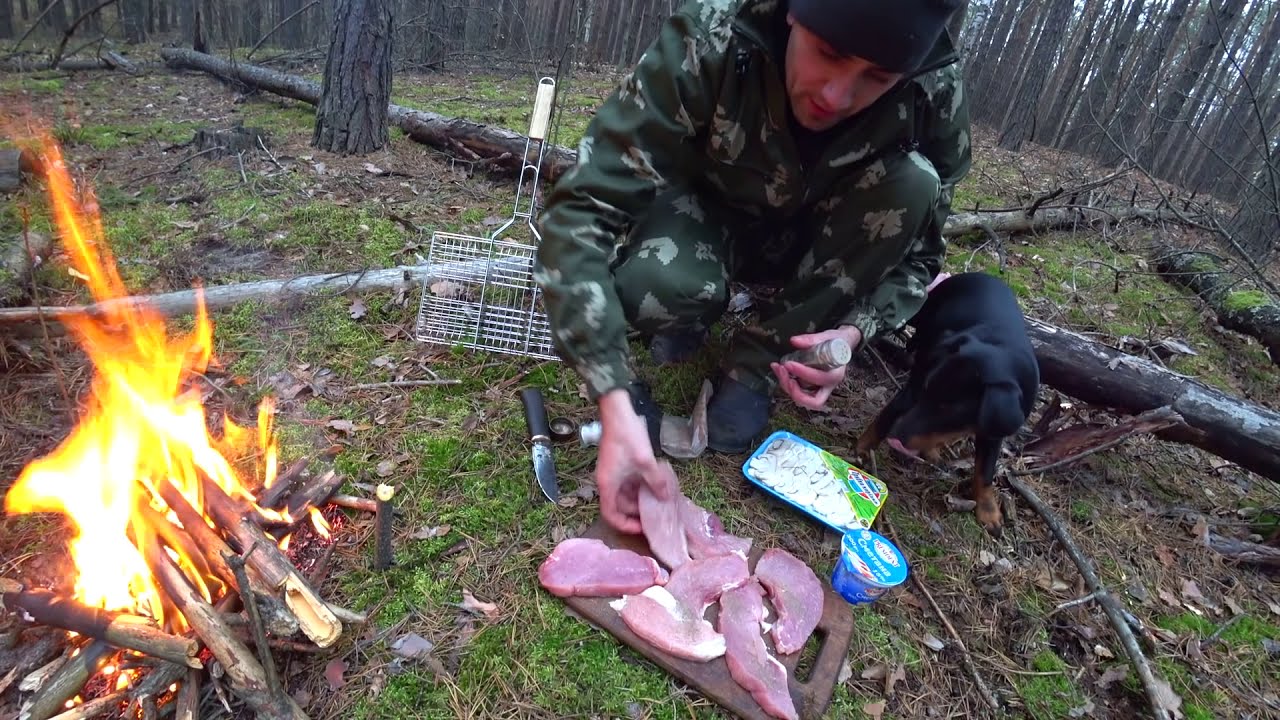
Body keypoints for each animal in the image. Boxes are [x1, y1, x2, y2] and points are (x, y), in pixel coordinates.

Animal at [849, 270, 1039, 532]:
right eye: (926, 393)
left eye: (949, 410)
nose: (895, 438)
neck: (1001, 350)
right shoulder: (914, 387)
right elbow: (886, 416)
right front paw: (861, 451)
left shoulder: (994, 432)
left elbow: (985, 471)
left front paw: (990, 515)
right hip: (922, 312)